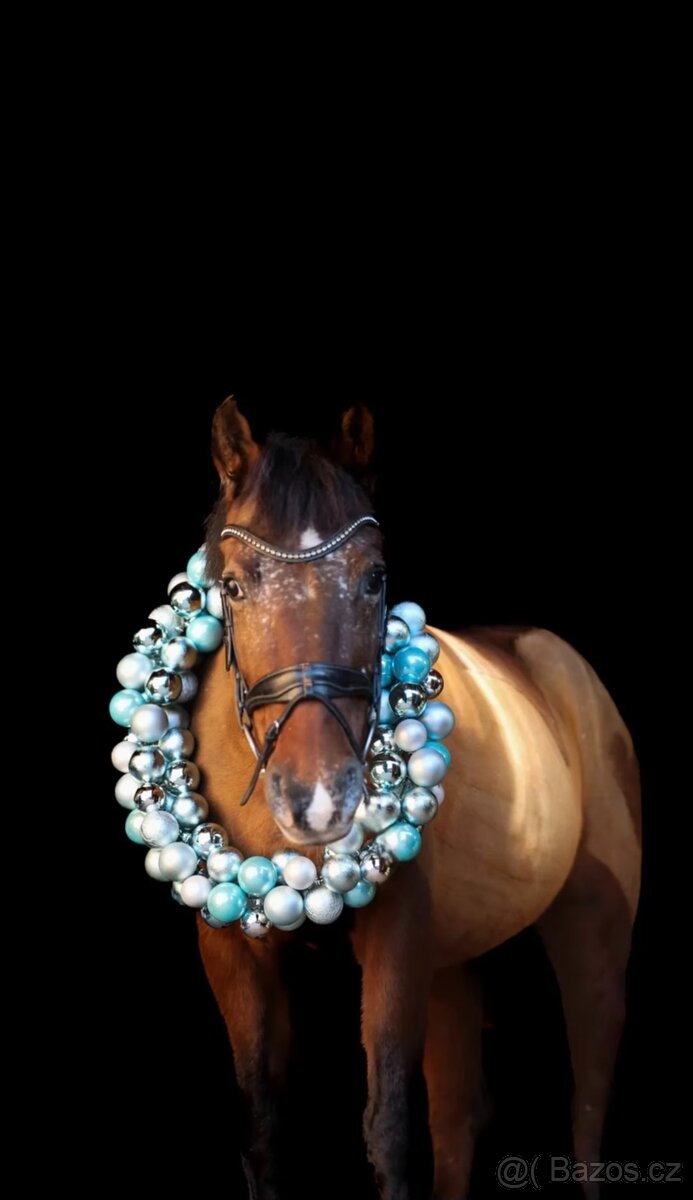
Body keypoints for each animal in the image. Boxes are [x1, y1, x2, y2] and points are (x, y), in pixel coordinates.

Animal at [190, 397, 640, 1200]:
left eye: (374, 578)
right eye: (235, 585)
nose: (320, 801)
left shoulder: (397, 938)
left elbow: (388, 1127)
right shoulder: (232, 951)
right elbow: (263, 1127)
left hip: (595, 930)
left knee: (585, 1102)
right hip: (453, 964)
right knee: (461, 1116)